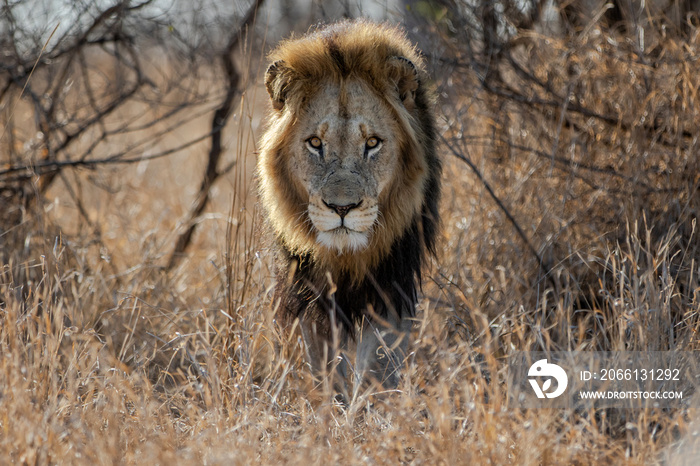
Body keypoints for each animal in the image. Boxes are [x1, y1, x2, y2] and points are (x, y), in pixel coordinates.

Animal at [258, 20, 442, 400]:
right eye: (315, 143)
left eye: (372, 143)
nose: (341, 208)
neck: (346, 255)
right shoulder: (309, 290)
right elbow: (324, 365)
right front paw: (330, 405)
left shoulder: (392, 282)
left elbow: (378, 362)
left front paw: (372, 406)